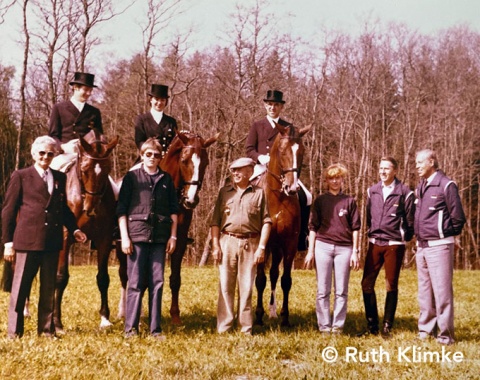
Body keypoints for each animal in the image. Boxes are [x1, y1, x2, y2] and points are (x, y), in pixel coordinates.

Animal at [53, 129, 118, 332]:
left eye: (107, 170)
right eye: (84, 170)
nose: (91, 208)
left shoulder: (104, 239)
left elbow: (103, 278)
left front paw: (105, 319)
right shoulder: (65, 238)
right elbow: (61, 278)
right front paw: (57, 323)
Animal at [117, 131, 218, 324]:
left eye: (206, 162)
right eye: (184, 160)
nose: (191, 200)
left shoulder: (178, 241)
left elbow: (175, 279)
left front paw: (175, 316)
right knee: (125, 276)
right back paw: (123, 312)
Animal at [255, 122, 312, 326]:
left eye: (301, 150)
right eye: (282, 150)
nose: (292, 187)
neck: (278, 197)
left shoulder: (289, 244)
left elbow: (285, 280)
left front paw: (285, 318)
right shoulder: (261, 244)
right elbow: (259, 280)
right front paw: (257, 316)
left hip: (277, 247)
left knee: (273, 274)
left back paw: (272, 311)